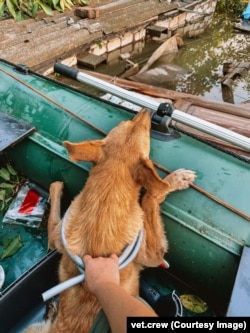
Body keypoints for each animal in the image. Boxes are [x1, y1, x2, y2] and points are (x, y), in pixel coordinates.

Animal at [23, 107, 195, 330]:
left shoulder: (56, 236)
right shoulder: (154, 254)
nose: (148, 110)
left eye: (126, 123)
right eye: (146, 131)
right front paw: (175, 179)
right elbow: (151, 196)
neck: (104, 201)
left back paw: (52, 309)